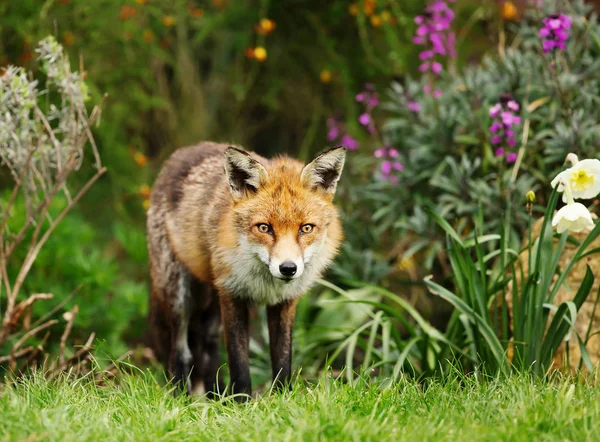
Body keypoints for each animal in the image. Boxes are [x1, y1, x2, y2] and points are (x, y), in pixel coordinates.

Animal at [146, 142, 346, 398]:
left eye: (306, 228)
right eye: (264, 227)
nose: (288, 268)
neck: (266, 284)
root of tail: (186, 150)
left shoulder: (284, 303)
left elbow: (282, 360)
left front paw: (282, 398)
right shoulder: (233, 296)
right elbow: (239, 363)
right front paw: (242, 401)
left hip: (213, 302)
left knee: (208, 348)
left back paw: (214, 396)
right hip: (179, 297)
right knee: (181, 352)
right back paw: (182, 397)